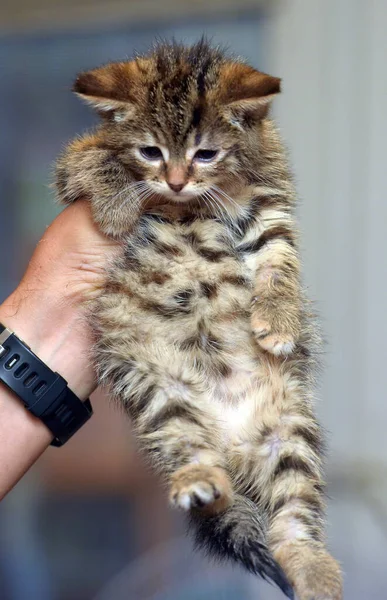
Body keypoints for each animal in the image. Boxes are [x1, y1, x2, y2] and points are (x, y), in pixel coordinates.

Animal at [56, 41, 342, 600]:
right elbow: (89, 157)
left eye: (205, 154)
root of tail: (233, 448)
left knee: (293, 513)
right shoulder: (74, 169)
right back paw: (200, 484)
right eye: (150, 152)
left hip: (292, 431)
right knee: (195, 457)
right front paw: (115, 202)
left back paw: (312, 567)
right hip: (162, 396)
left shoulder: (267, 196)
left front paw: (280, 317)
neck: (187, 205)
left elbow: (278, 252)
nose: (175, 180)